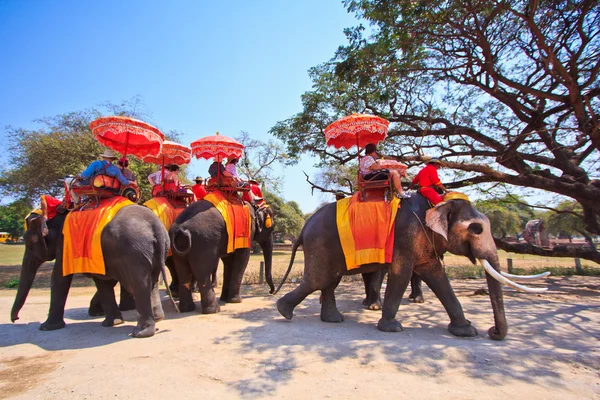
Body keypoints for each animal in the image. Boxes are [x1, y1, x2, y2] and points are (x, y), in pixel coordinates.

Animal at [11, 203, 171, 338]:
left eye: (29, 241)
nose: (16, 319)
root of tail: (156, 225)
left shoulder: (65, 243)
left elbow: (59, 278)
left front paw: (46, 327)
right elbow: (104, 281)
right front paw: (112, 322)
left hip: (133, 250)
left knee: (139, 283)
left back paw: (140, 333)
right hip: (151, 250)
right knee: (151, 280)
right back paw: (157, 319)